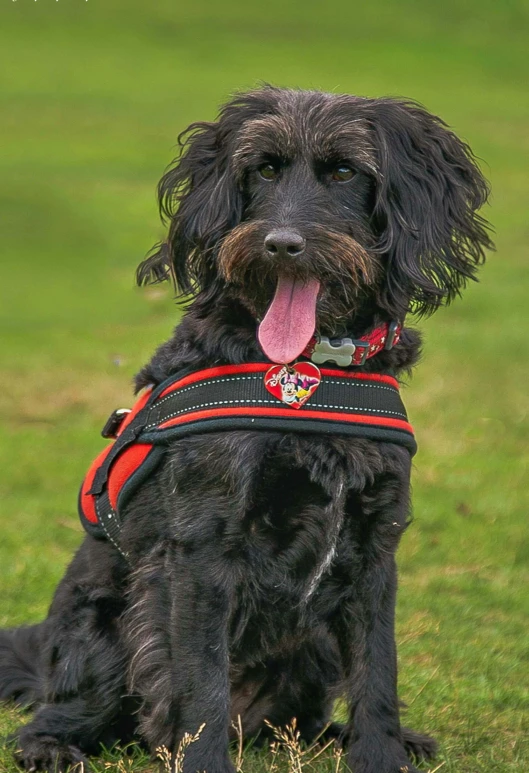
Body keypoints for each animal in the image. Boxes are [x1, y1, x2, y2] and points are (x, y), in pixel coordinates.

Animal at [0, 87, 490, 768]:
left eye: (345, 172)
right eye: (264, 169)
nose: (281, 244)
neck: (310, 373)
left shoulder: (376, 545)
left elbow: (377, 671)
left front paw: (380, 753)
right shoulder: (205, 548)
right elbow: (200, 685)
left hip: (314, 650)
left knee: (303, 723)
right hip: (103, 632)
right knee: (65, 712)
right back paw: (51, 744)